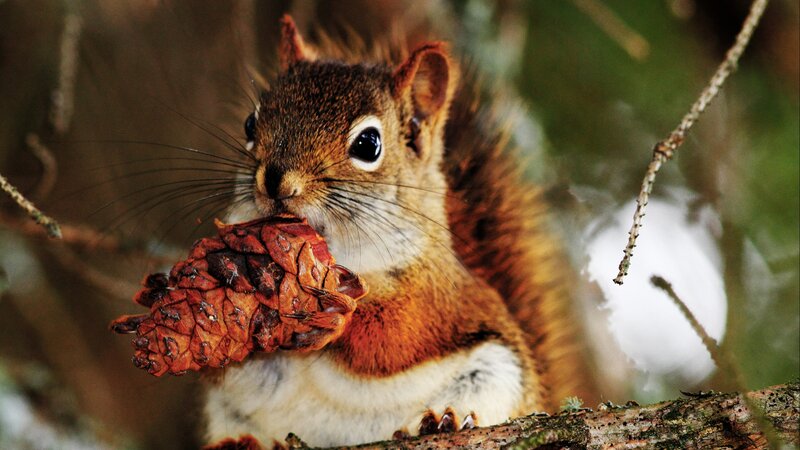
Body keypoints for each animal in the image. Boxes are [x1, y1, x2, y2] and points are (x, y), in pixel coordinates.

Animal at [203, 15, 595, 448]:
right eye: (250, 123)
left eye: (368, 144)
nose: (275, 182)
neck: (340, 254)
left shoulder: (434, 295)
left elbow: (394, 336)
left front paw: (337, 314)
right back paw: (241, 441)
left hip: (498, 374)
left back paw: (445, 420)